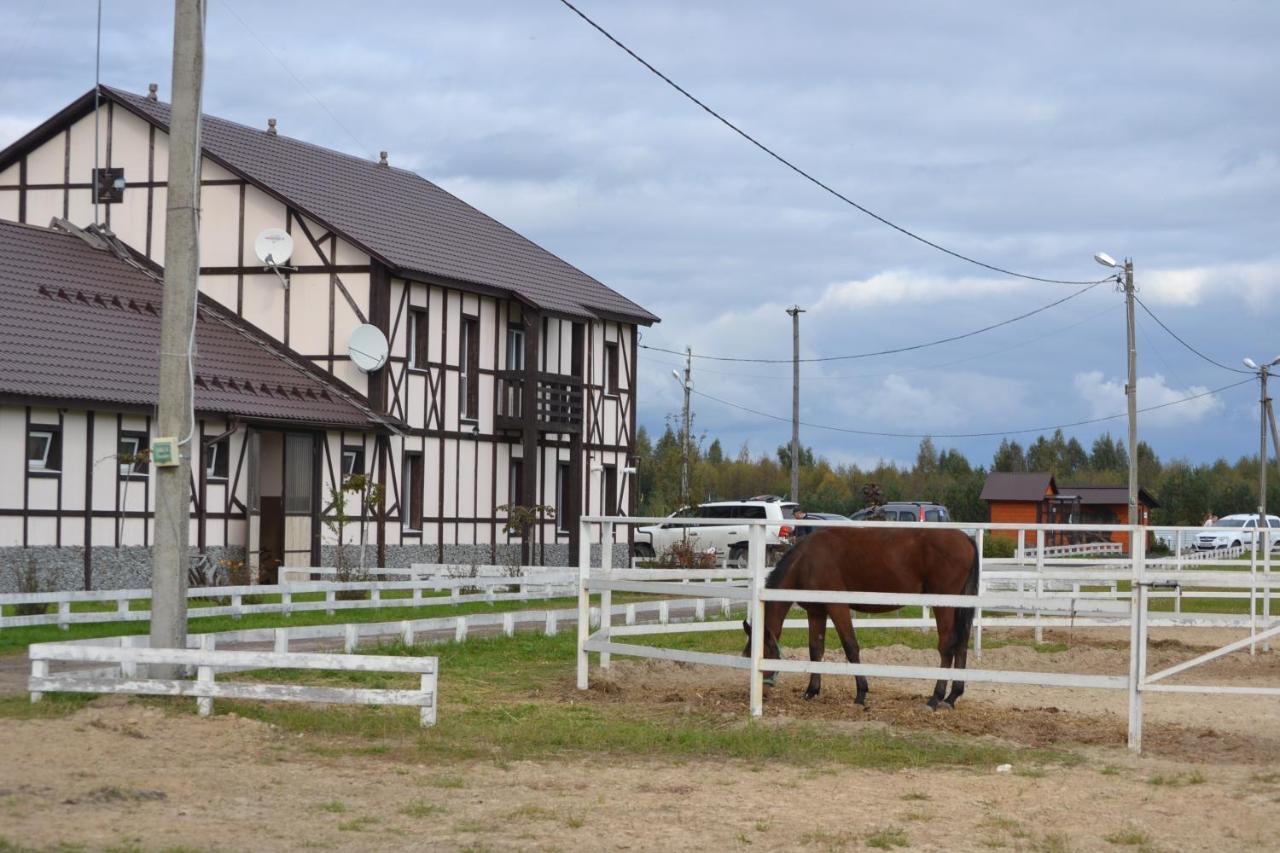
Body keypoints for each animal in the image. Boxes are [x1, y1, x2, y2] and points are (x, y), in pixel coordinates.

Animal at [742, 527, 977, 706]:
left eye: (763, 653)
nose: (761, 693)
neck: (806, 561)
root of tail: (965, 538)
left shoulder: (838, 608)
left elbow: (851, 647)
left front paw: (861, 694)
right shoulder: (816, 612)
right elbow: (816, 650)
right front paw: (811, 691)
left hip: (944, 605)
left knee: (947, 645)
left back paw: (936, 697)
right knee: (961, 644)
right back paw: (952, 697)